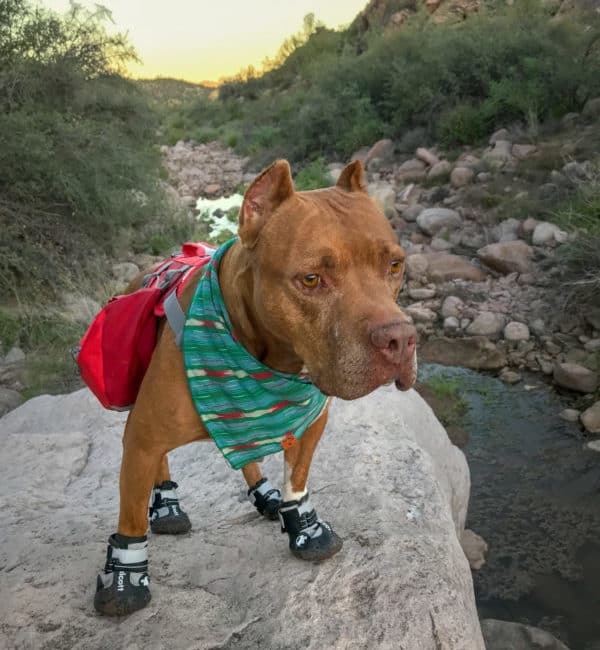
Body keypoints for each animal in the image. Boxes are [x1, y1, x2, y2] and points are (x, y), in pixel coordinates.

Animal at [94, 157, 418, 612]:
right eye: (311, 279)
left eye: (394, 265)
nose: (401, 340)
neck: (269, 359)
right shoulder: (142, 436)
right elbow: (131, 513)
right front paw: (125, 577)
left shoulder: (310, 420)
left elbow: (297, 476)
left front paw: (302, 524)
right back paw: (167, 506)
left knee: (246, 448)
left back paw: (263, 492)